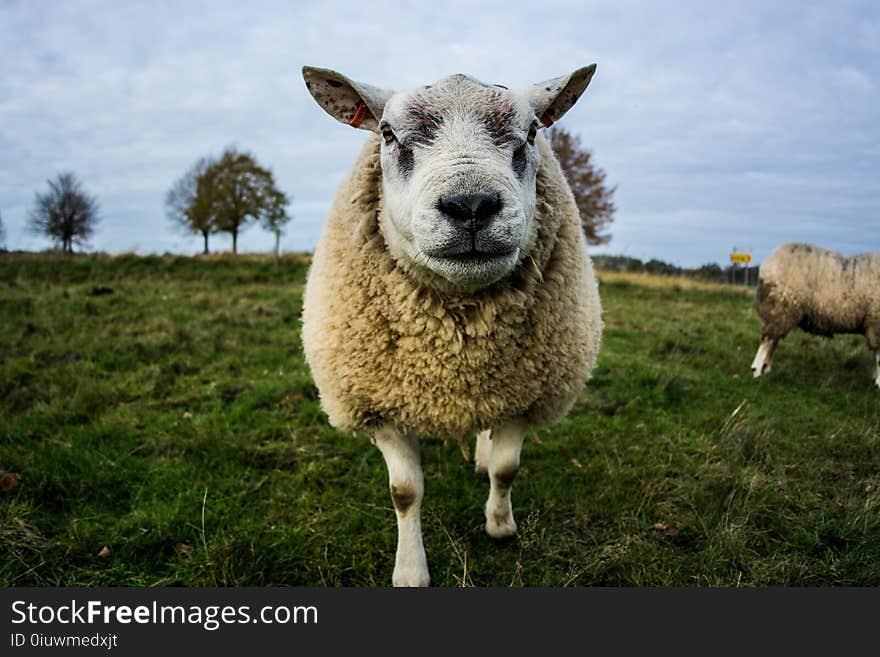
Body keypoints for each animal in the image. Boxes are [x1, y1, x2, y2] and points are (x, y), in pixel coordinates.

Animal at [300, 65, 600, 584]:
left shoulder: (526, 396)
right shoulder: (379, 406)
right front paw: (410, 571)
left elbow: (506, 470)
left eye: (533, 132)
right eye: (387, 133)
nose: (471, 205)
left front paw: (500, 526)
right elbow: (405, 492)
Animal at [748, 240, 880, 384]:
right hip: (781, 307)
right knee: (768, 340)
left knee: (773, 339)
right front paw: (878, 382)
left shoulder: (873, 325)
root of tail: (768, 263)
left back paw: (766, 370)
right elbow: (879, 358)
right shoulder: (876, 323)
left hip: (781, 313)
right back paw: (757, 371)